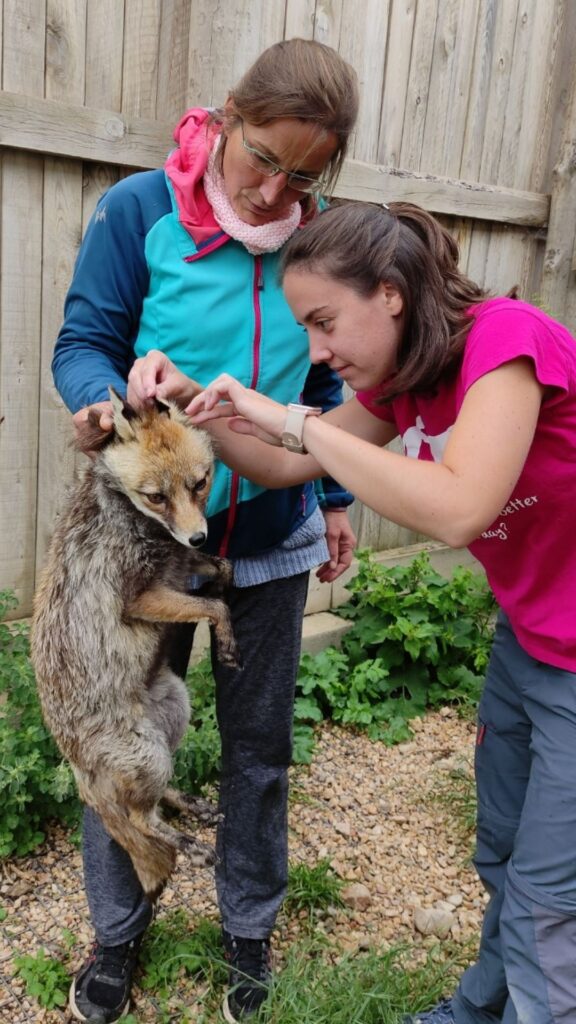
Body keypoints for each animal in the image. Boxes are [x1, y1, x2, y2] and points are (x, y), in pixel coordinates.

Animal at [31, 387, 237, 901]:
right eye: (156, 497)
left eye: (200, 484)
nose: (198, 533)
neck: (125, 515)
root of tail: (78, 767)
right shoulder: (140, 598)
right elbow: (213, 605)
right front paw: (226, 637)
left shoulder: (180, 564)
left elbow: (222, 569)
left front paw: (223, 584)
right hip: (147, 755)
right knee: (140, 819)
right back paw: (191, 845)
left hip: (173, 716)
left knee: (154, 801)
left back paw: (191, 806)